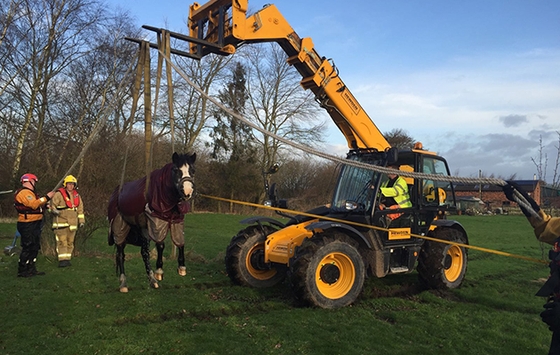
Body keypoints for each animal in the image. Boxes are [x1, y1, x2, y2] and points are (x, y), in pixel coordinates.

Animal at [106, 152, 196, 294]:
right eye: (176, 170)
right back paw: (123, 283)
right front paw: (159, 271)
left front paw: (182, 268)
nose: (187, 191)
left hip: (142, 231)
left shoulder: (177, 222)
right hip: (120, 227)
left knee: (144, 253)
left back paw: (152, 280)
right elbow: (160, 245)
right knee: (120, 254)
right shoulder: (156, 222)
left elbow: (180, 242)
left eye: (193, 170)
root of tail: (116, 192)